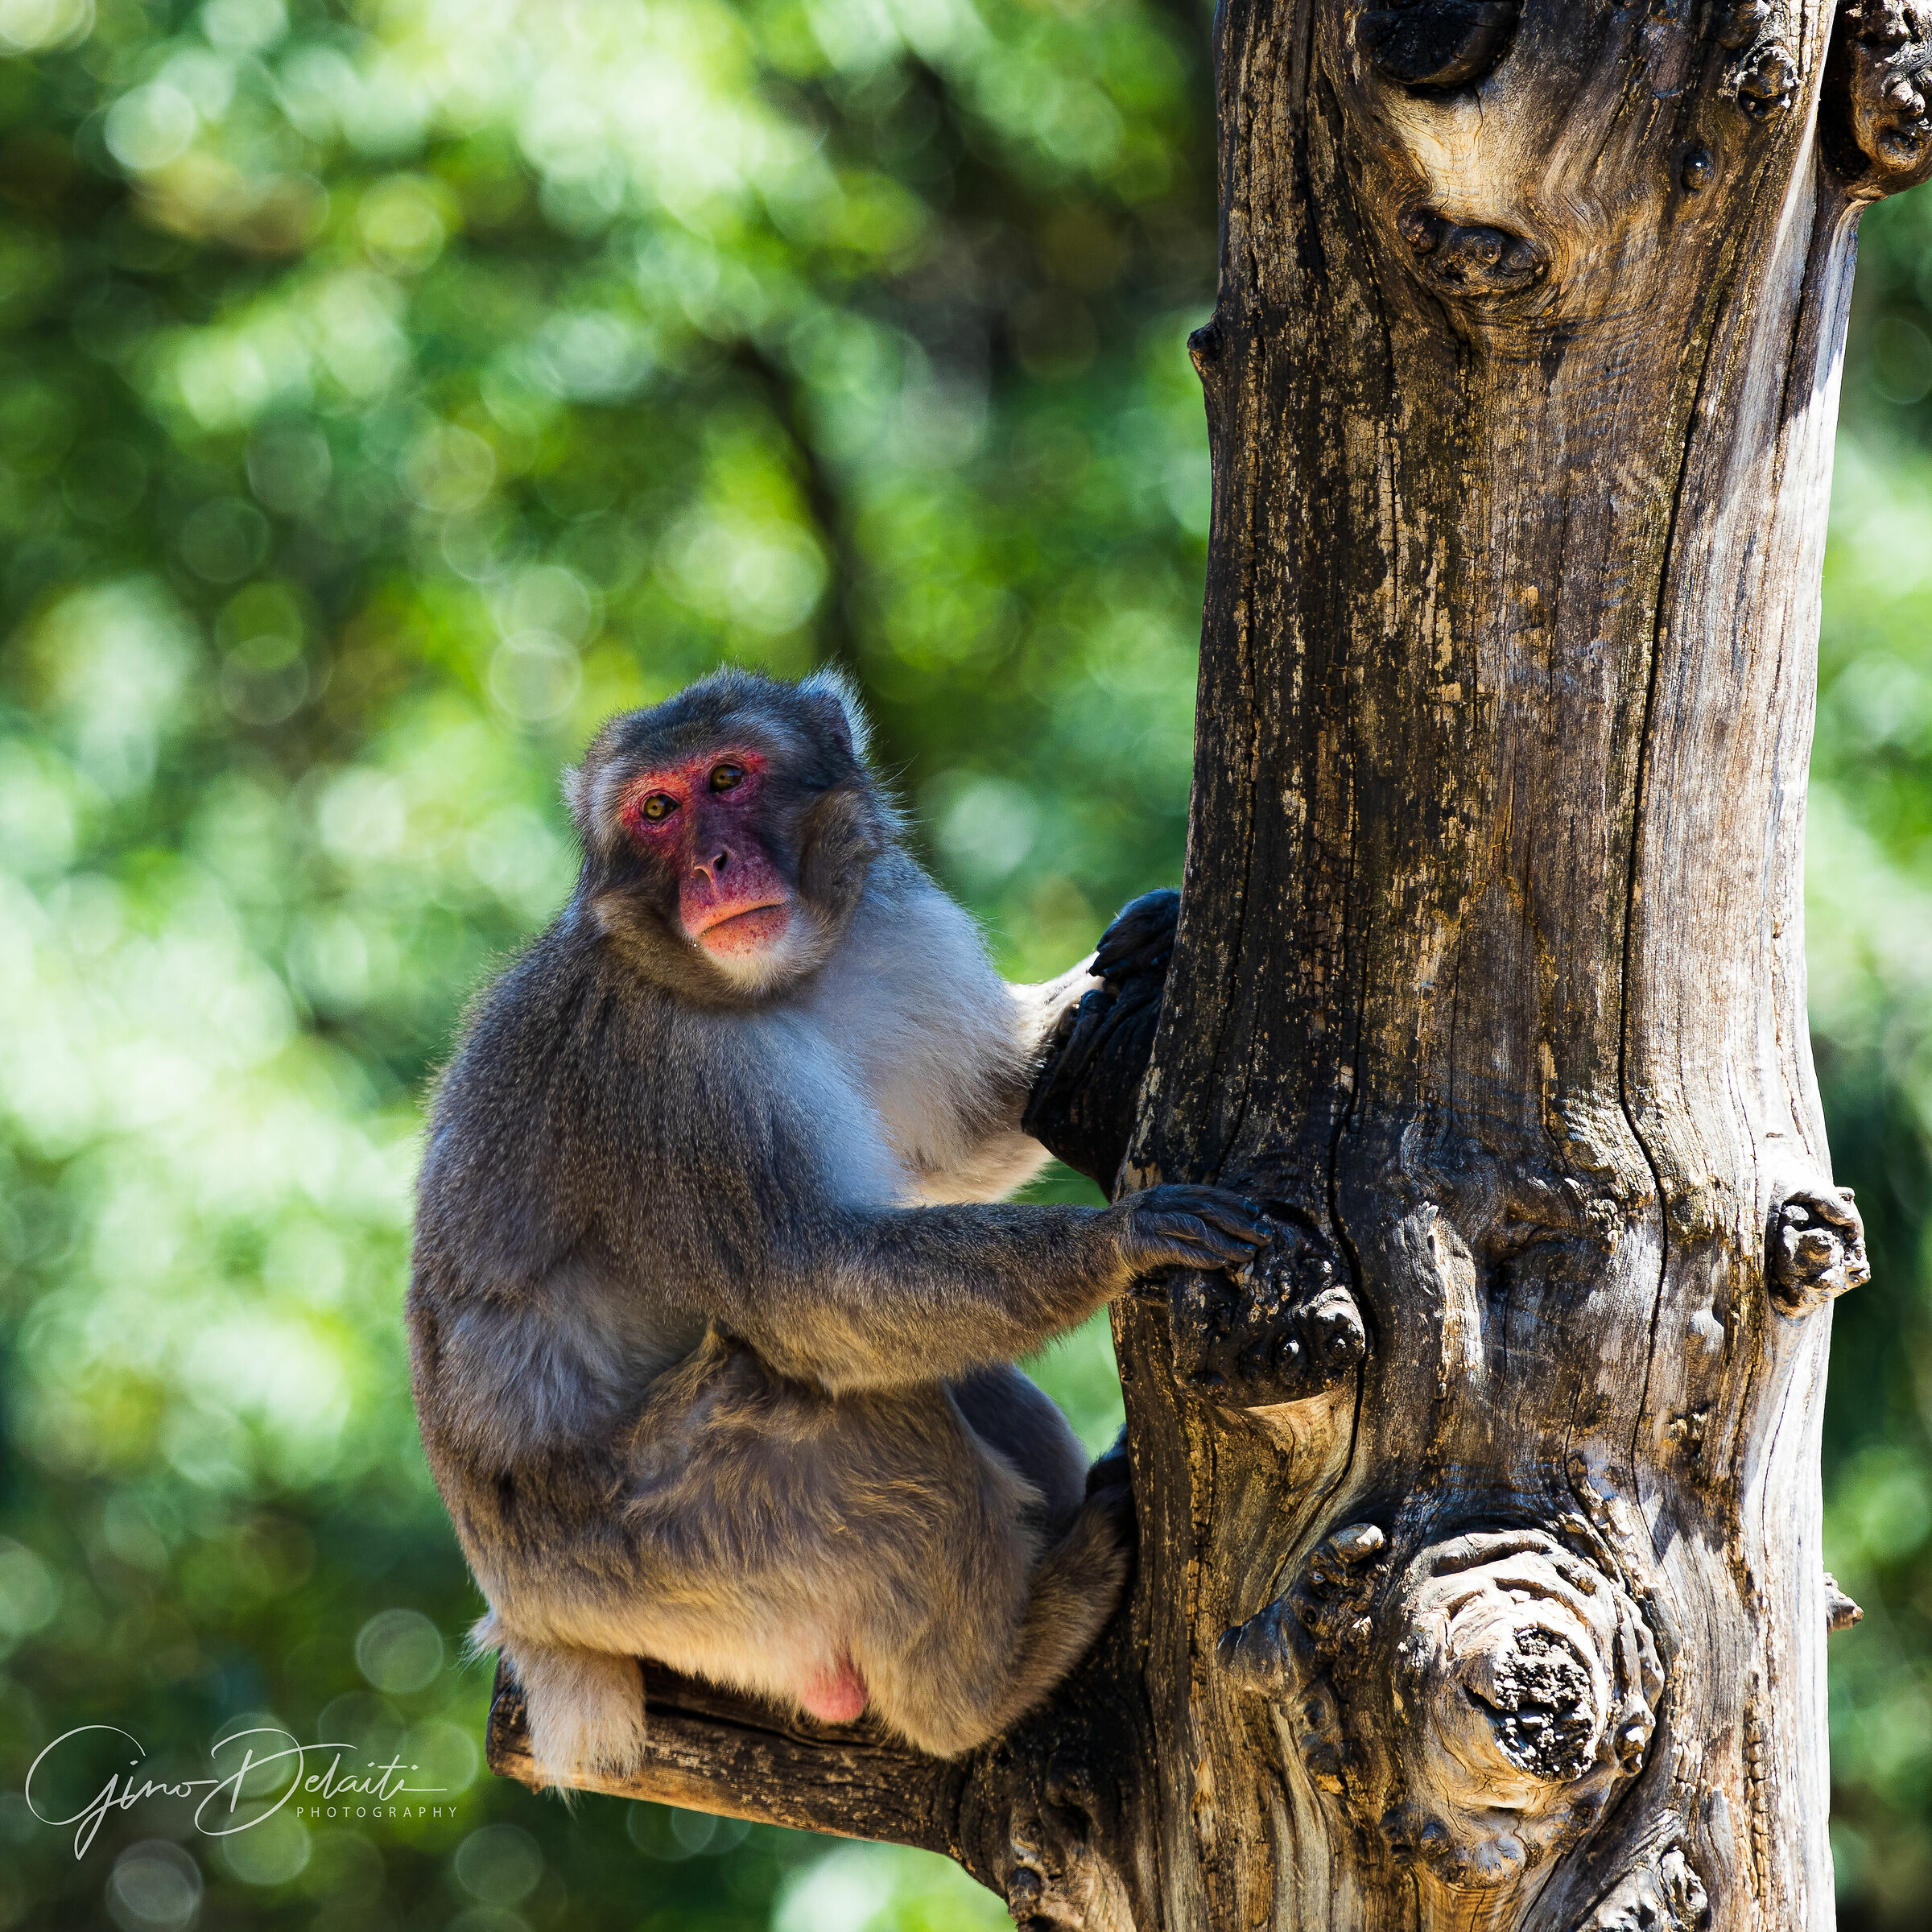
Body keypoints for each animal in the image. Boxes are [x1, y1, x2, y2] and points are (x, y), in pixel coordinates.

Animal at [408, 667, 1270, 1777]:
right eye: (657, 811)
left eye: (728, 778)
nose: (712, 864)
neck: (786, 980)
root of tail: (528, 1621)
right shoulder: (669, 1070)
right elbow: (806, 1289)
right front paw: (1121, 1240)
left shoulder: (894, 941)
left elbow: (975, 1126)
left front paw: (1146, 937)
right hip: (653, 1554)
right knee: (840, 1409)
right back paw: (991, 1679)